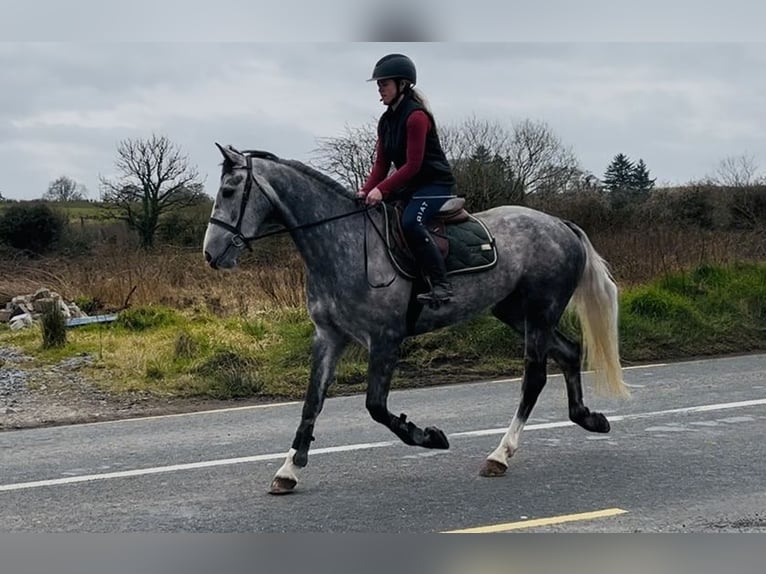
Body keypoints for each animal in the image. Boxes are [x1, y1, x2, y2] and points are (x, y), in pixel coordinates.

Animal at [203, 143, 629, 495]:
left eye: (229, 191)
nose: (211, 254)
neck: (341, 242)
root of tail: (560, 225)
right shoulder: (328, 337)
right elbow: (312, 402)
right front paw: (289, 470)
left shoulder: (385, 339)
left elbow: (376, 406)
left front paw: (426, 435)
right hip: (514, 311)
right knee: (569, 352)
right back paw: (588, 418)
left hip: (540, 312)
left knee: (535, 378)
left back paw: (500, 454)